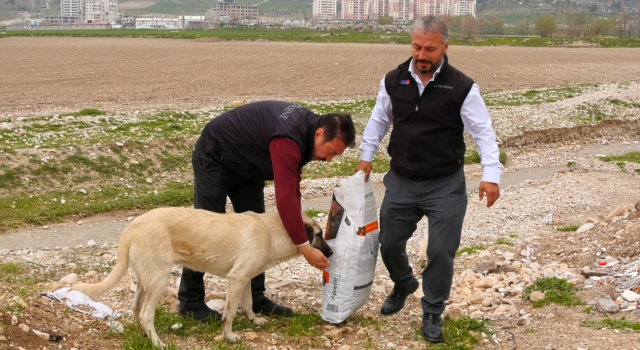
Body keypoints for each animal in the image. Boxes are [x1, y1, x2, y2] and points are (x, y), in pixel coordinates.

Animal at [72, 208, 332, 348]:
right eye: (319, 235)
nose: (330, 253)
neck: (272, 231)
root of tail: (129, 230)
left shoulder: (245, 278)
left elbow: (247, 303)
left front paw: (254, 320)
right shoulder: (237, 278)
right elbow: (230, 312)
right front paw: (229, 336)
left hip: (144, 280)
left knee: (136, 308)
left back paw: (145, 336)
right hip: (158, 279)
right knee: (146, 314)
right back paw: (157, 342)